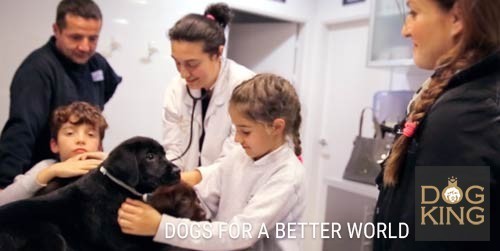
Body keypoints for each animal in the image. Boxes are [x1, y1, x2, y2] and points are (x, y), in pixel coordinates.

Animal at [0, 137, 188, 251]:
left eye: (164, 154)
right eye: (150, 156)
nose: (178, 171)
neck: (118, 188)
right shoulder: (123, 244)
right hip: (51, 234)